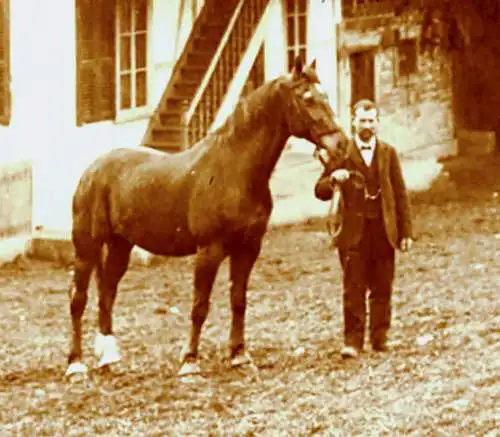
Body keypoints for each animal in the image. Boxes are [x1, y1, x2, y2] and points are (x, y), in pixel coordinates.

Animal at [65, 57, 348, 378]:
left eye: (325, 95)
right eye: (308, 98)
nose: (340, 145)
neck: (234, 170)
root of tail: (93, 169)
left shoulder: (248, 249)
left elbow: (238, 301)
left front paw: (239, 355)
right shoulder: (209, 251)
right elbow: (200, 306)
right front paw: (190, 361)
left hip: (119, 246)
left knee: (107, 293)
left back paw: (109, 358)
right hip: (86, 247)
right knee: (78, 298)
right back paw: (75, 364)